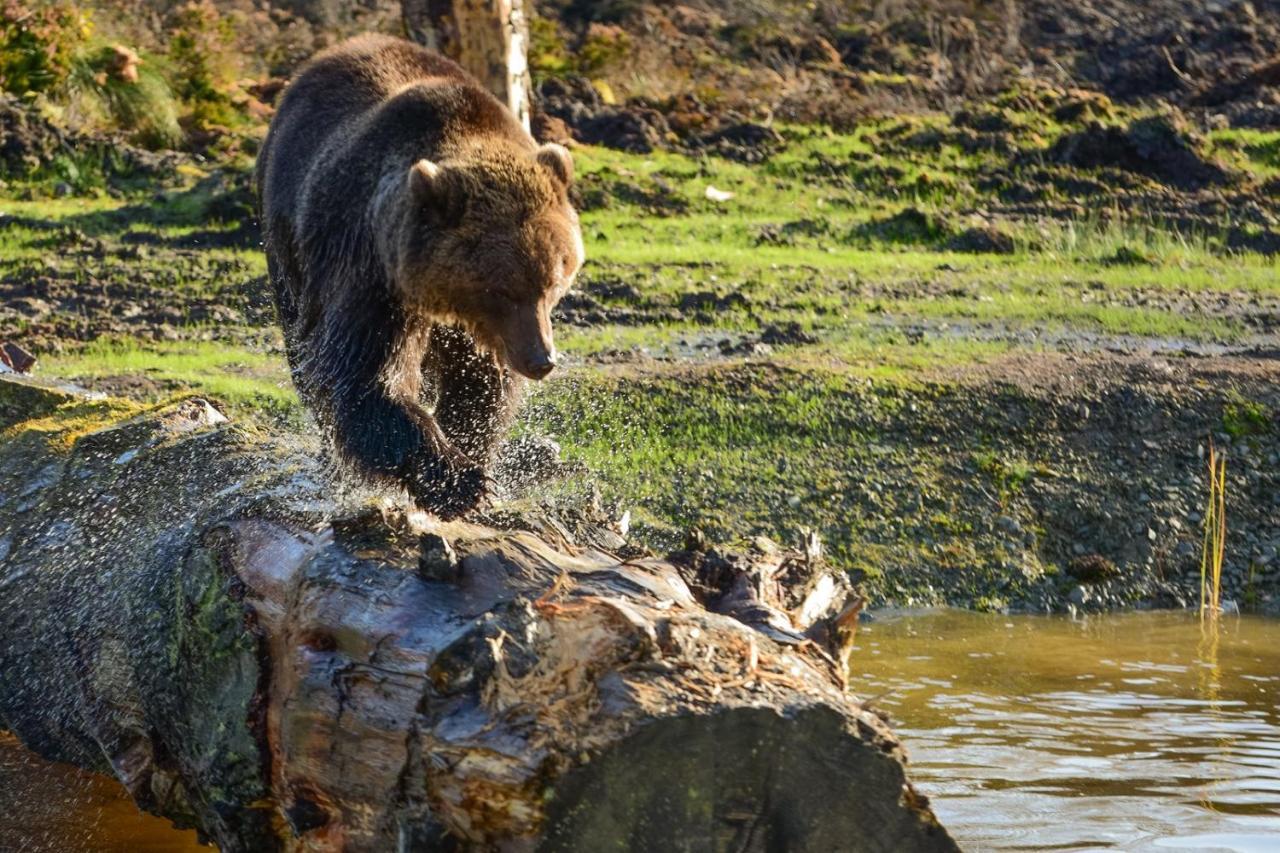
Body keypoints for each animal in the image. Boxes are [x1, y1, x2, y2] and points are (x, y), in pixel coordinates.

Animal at [257, 34, 583, 517]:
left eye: (553, 283)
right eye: (503, 289)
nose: (541, 359)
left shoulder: (483, 331)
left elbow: (480, 386)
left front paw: (469, 452)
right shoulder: (371, 272)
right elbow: (367, 377)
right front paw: (460, 482)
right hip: (289, 244)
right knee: (304, 354)